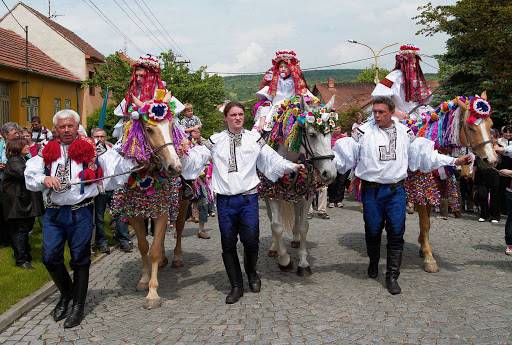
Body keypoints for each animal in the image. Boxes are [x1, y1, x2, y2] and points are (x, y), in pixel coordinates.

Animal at [262, 95, 338, 276]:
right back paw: (274, 248)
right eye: (311, 134)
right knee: (271, 218)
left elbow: (304, 226)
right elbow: (277, 226)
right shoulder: (273, 195)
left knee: (296, 216)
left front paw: (303, 263)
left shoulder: (307, 194)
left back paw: (296, 240)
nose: (329, 174)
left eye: (331, 133)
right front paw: (284, 260)